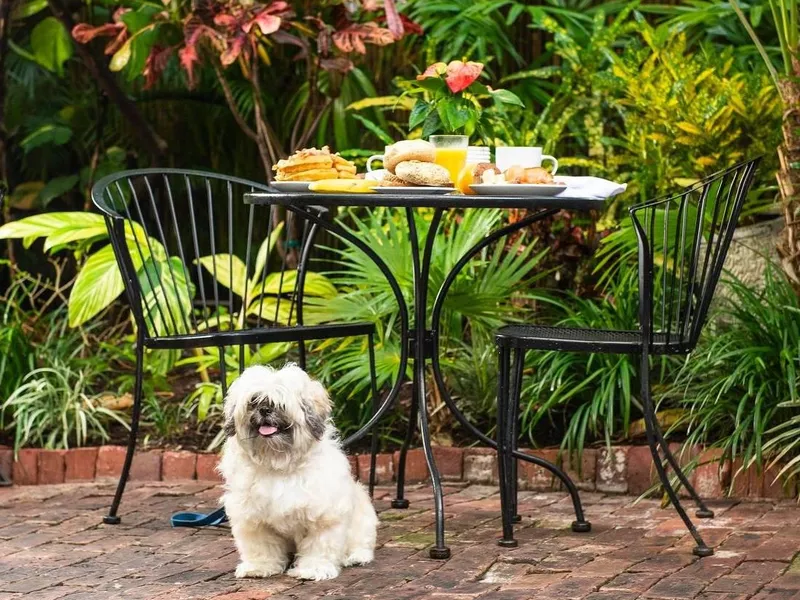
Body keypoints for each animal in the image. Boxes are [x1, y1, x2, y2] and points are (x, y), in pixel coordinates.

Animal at [219, 364, 378, 580]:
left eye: (280, 403)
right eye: (254, 401)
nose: (265, 410)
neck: (279, 464)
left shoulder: (323, 517)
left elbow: (319, 545)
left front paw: (313, 569)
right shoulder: (253, 519)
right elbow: (261, 546)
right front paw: (260, 566)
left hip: (362, 520)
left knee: (361, 542)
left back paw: (355, 556)